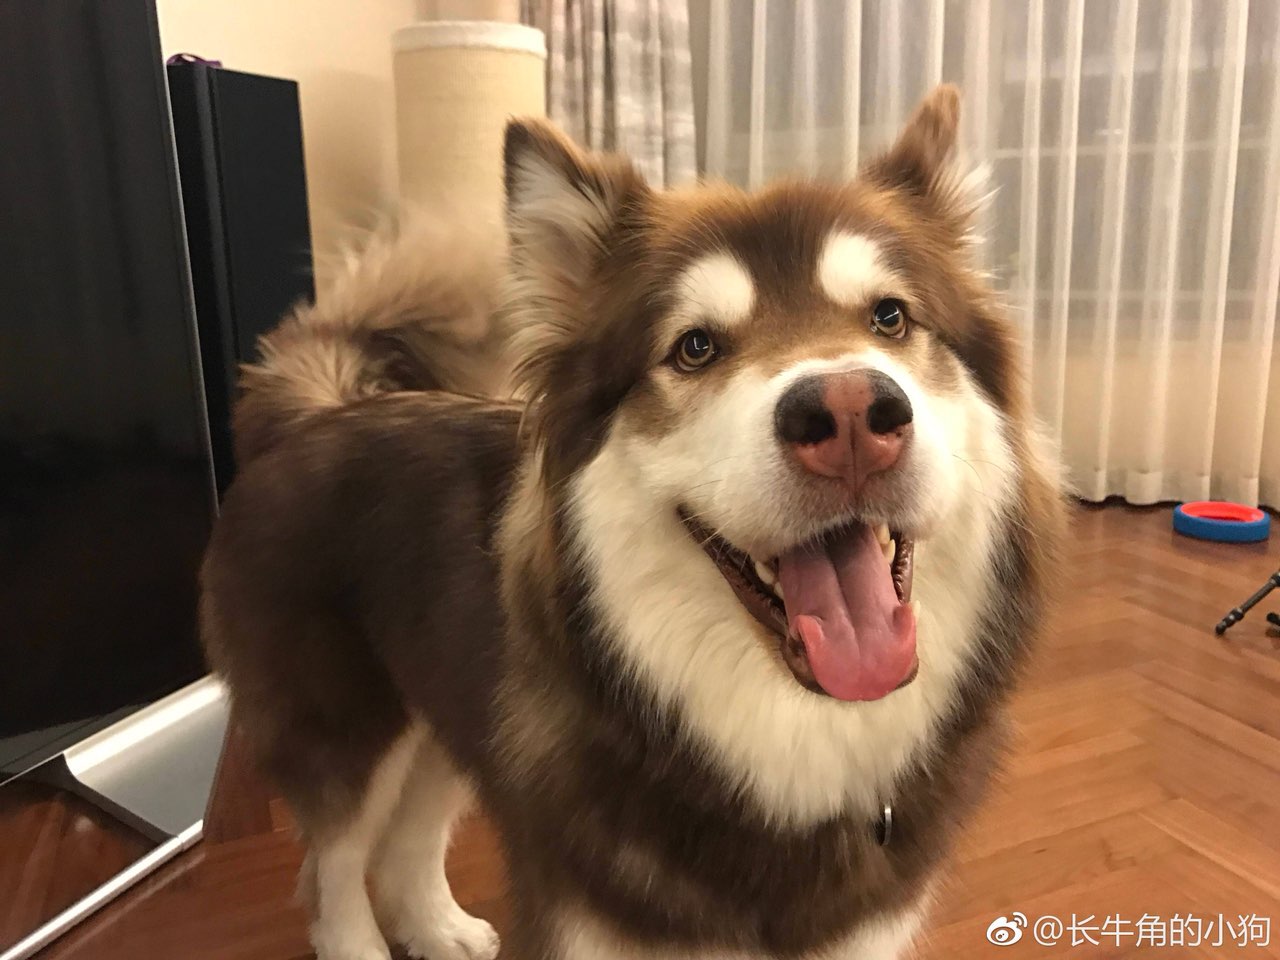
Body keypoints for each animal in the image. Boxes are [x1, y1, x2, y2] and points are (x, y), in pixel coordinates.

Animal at [201, 85, 1064, 960]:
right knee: (334, 867)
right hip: (343, 726)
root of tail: (316, 407)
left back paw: (439, 927)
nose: (853, 414)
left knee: (409, 833)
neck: (789, 753)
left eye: (890, 318)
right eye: (695, 347)